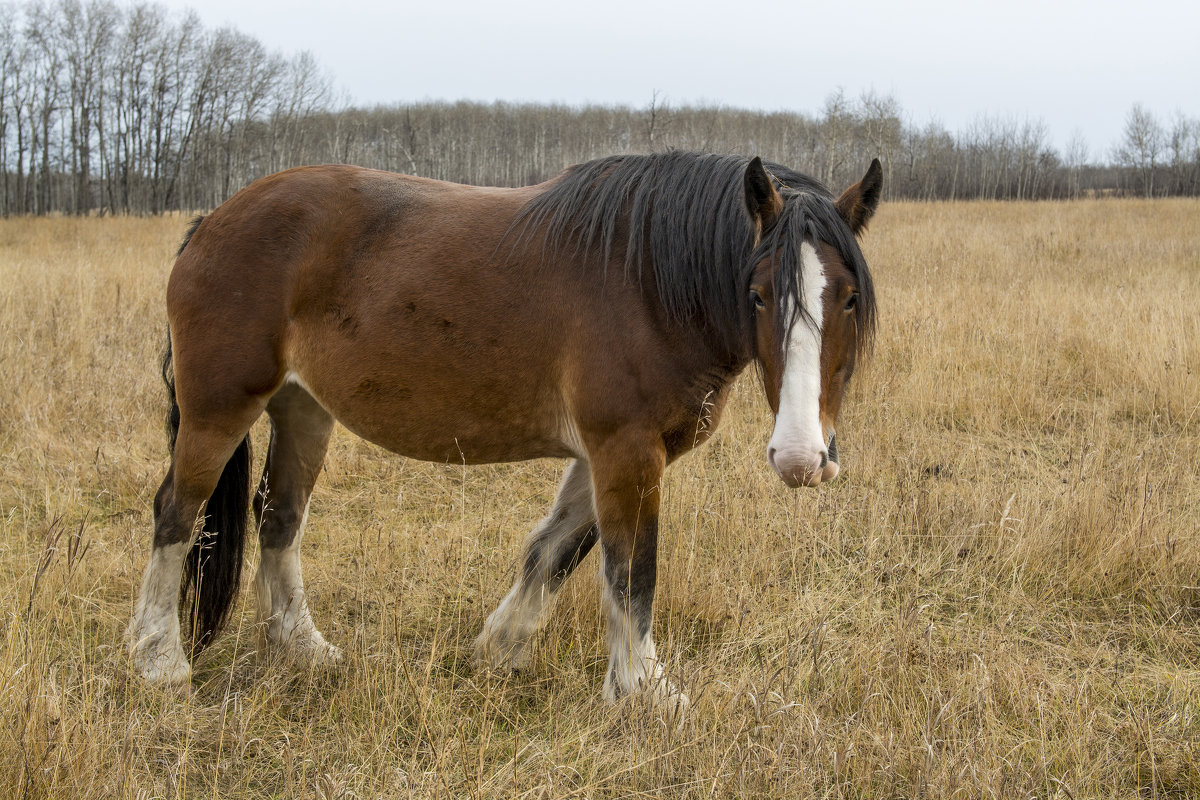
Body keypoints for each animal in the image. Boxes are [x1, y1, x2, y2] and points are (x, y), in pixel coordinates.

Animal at [129, 149, 883, 705]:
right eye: (757, 294)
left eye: (849, 298)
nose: (801, 456)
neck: (648, 280)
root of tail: (214, 219)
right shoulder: (626, 450)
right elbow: (632, 569)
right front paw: (645, 693)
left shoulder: (608, 455)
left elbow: (556, 550)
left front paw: (501, 650)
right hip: (220, 407)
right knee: (177, 513)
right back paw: (159, 661)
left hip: (302, 409)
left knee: (278, 516)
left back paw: (303, 650)